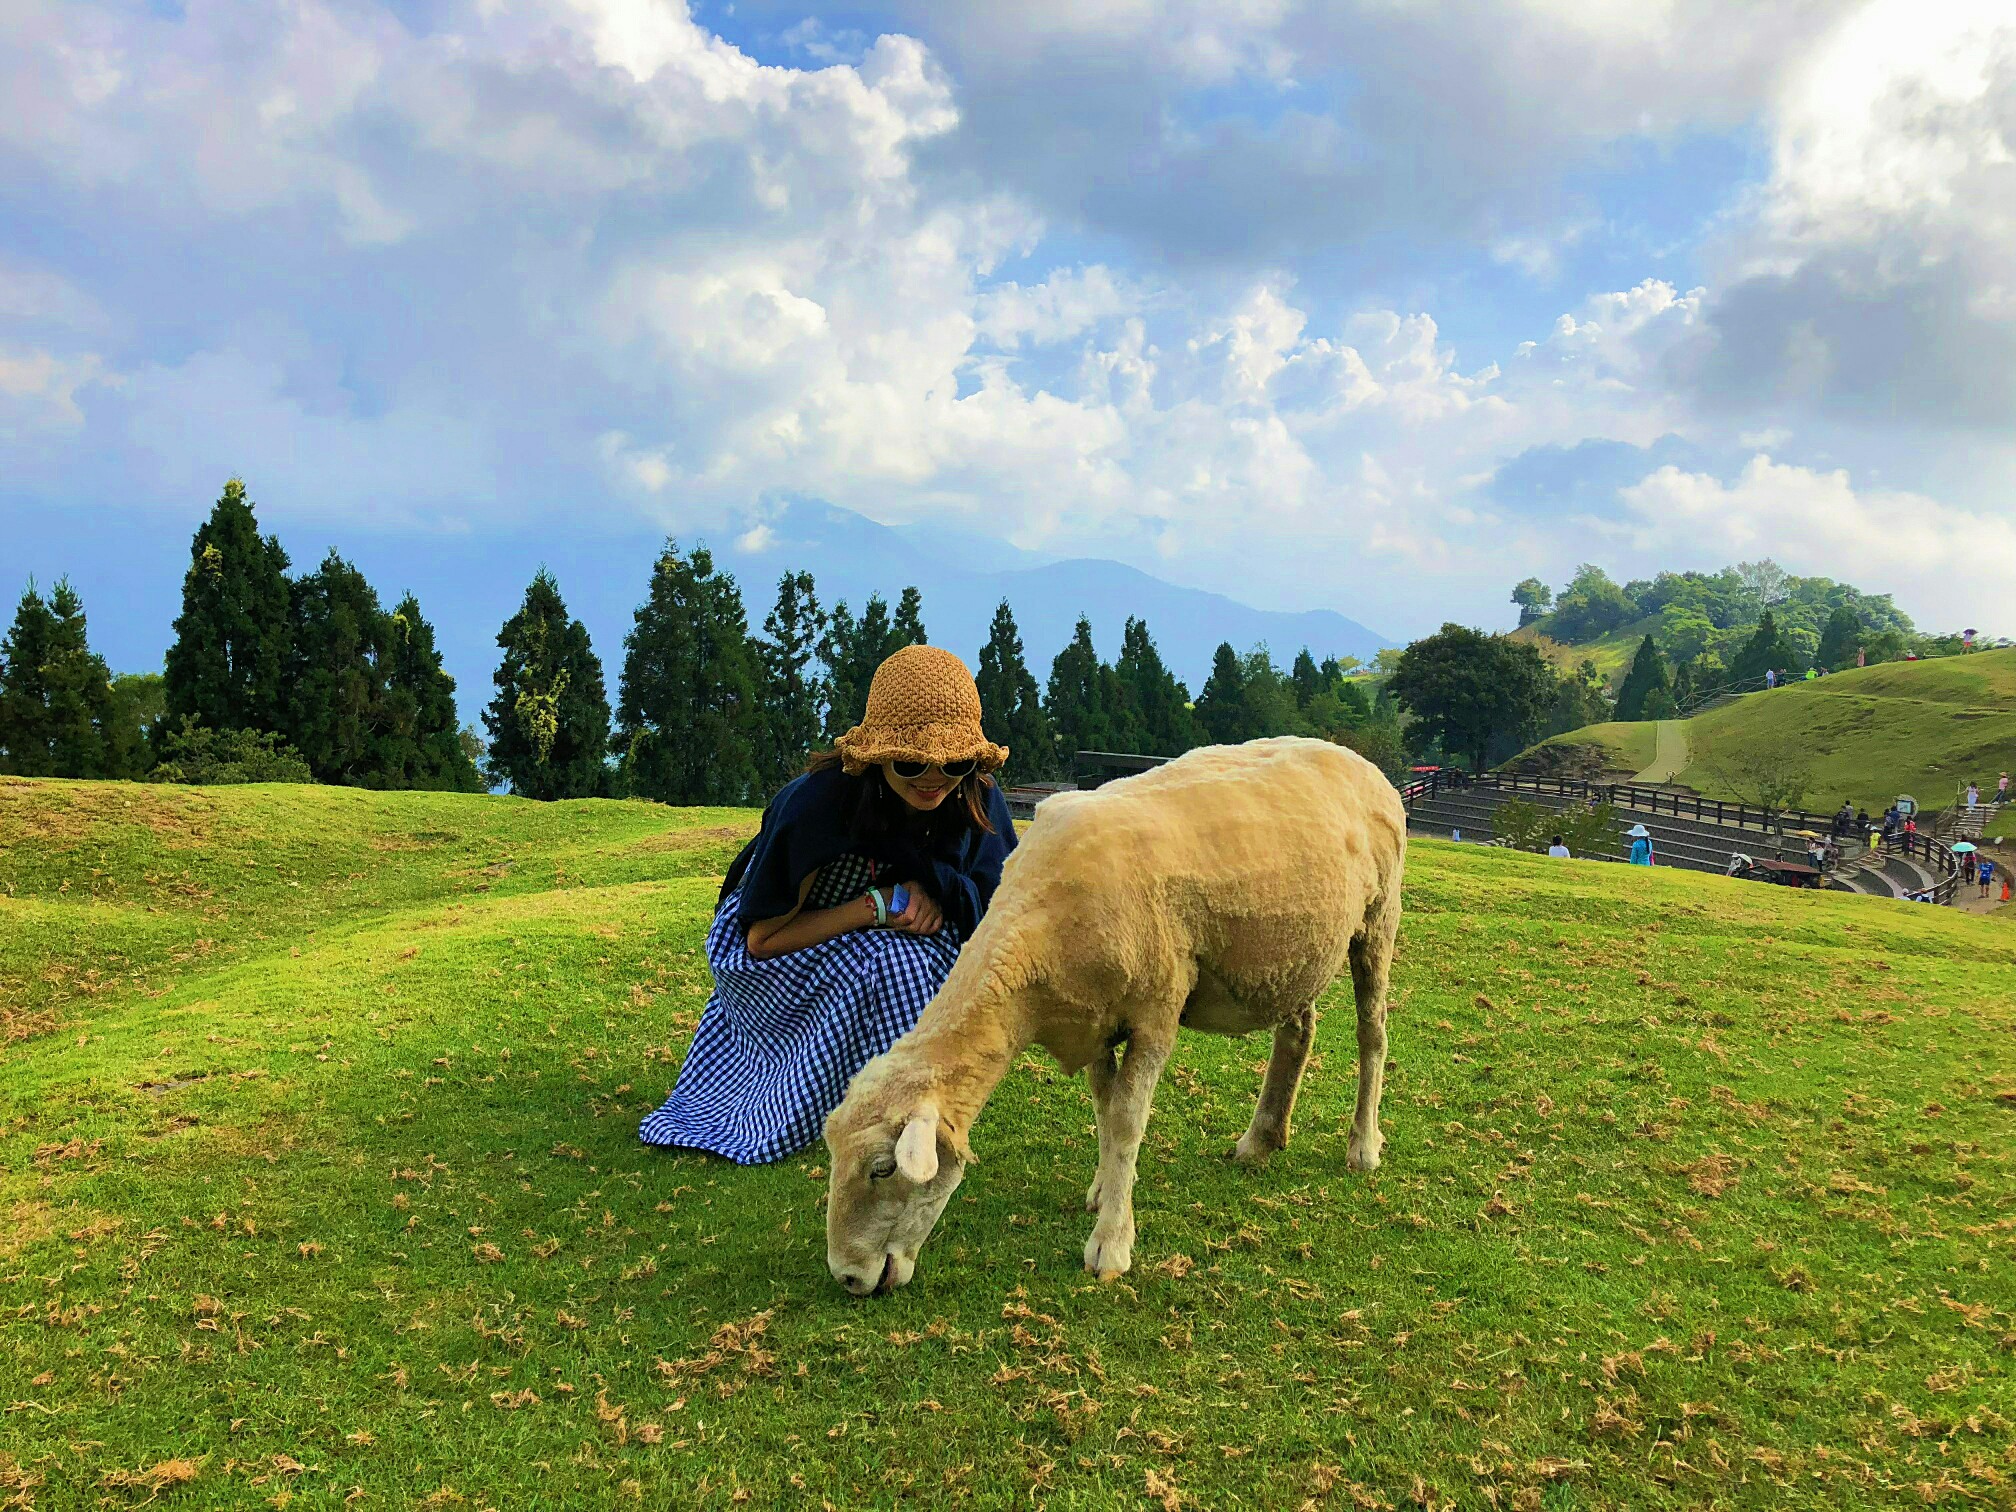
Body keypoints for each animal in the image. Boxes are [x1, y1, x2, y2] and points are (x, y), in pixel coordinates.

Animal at [818, 733, 1403, 1290]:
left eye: (882, 1169)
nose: (848, 1277)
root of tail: (1363, 764)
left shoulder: (1156, 1011)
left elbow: (1125, 1121)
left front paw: (1110, 1245)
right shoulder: (1093, 1020)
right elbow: (1103, 1107)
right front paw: (1103, 1191)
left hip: (1378, 920)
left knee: (1372, 1035)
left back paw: (1363, 1148)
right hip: (1295, 953)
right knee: (1298, 1032)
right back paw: (1261, 1139)